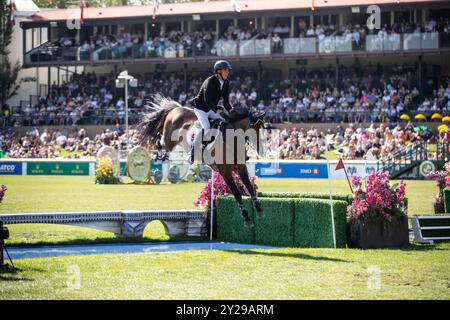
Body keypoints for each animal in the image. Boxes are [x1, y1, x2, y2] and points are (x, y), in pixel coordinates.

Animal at [135, 97, 266, 228]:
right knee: (160, 141)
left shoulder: (240, 168)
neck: (231, 141)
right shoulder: (225, 172)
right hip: (170, 140)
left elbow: (250, 188)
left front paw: (259, 210)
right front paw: (246, 217)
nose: (261, 150)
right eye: (255, 129)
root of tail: (176, 109)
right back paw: (159, 155)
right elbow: (237, 193)